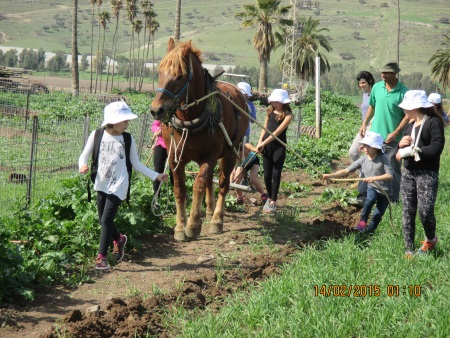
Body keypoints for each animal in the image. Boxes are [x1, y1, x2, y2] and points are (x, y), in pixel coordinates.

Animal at [151, 39, 250, 240]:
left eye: (180, 76)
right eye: (159, 72)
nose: (156, 110)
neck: (190, 118)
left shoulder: (210, 156)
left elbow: (198, 185)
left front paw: (193, 224)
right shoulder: (174, 157)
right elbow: (180, 189)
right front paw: (180, 227)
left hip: (230, 152)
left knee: (222, 183)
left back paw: (217, 219)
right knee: (210, 181)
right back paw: (210, 211)